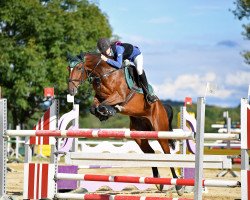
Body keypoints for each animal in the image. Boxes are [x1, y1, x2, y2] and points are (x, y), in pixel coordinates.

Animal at [67, 52, 185, 195]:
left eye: (79, 68)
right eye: (68, 68)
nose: (71, 91)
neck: (105, 73)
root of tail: (162, 106)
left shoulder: (119, 96)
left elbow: (104, 104)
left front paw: (109, 110)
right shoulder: (99, 97)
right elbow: (94, 107)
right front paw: (104, 113)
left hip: (160, 132)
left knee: (167, 154)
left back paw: (178, 186)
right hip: (139, 136)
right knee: (150, 152)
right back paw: (158, 181)